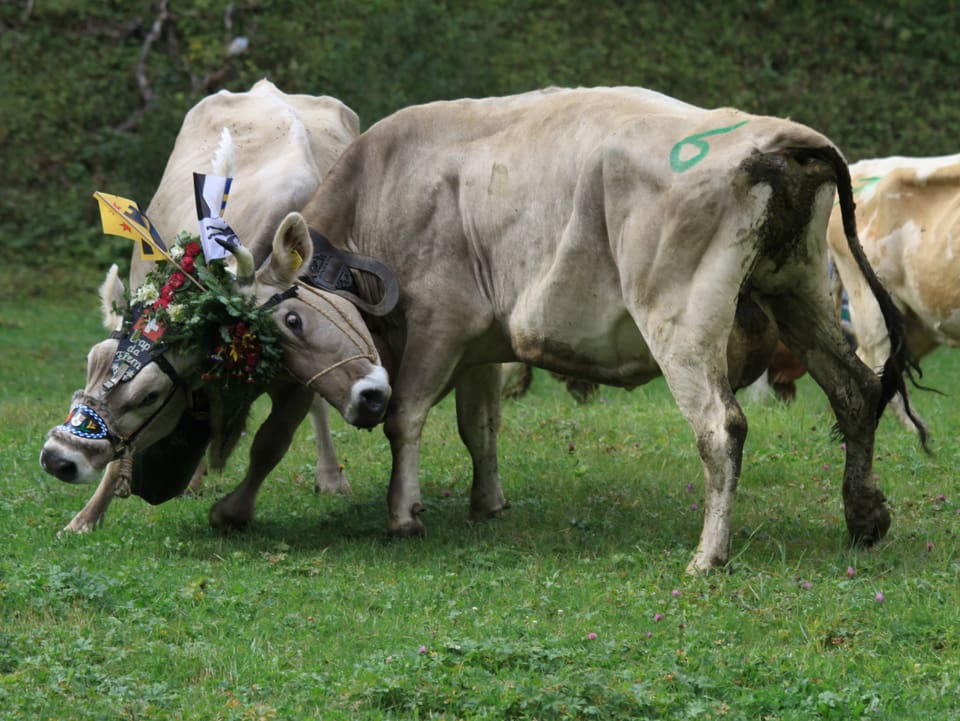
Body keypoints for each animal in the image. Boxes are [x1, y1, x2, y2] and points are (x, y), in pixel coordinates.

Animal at [37, 81, 390, 536]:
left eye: (150, 395)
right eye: (90, 363)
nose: (58, 458)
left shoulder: (300, 379)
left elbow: (271, 442)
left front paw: (232, 512)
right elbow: (124, 457)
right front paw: (85, 518)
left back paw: (330, 476)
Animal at [288, 84, 920, 572]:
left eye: (293, 320)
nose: (359, 402)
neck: (380, 186)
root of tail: (777, 137)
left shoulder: (440, 322)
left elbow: (407, 417)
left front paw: (403, 515)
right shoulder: (480, 344)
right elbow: (480, 427)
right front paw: (487, 504)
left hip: (681, 324)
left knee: (721, 428)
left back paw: (708, 556)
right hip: (798, 290)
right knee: (855, 391)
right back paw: (864, 516)